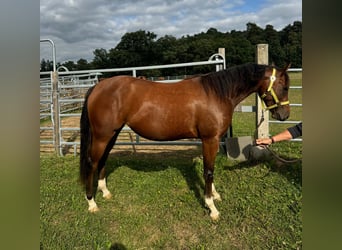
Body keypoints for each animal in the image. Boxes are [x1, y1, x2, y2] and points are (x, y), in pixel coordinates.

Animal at [80, 63, 292, 221]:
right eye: (285, 87)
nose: (284, 115)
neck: (217, 93)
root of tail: (98, 86)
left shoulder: (212, 141)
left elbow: (210, 169)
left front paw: (214, 195)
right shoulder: (209, 140)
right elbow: (208, 171)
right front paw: (211, 207)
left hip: (112, 134)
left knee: (103, 160)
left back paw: (105, 192)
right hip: (102, 135)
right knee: (92, 162)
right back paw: (91, 202)